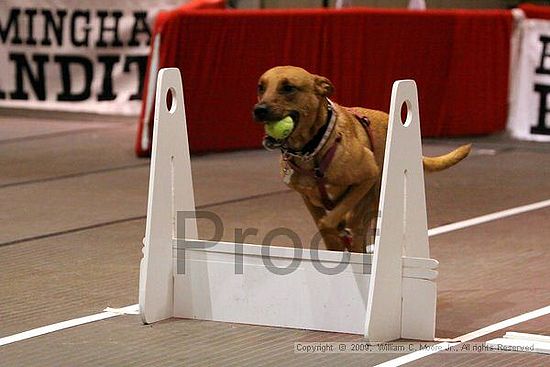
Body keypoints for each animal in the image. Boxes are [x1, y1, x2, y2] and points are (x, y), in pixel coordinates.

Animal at [252, 66, 472, 253]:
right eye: (261, 87)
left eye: (288, 88)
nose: (259, 110)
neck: (313, 149)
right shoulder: (308, 198)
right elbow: (327, 229)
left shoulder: (368, 176)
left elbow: (332, 220)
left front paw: (341, 224)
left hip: (376, 193)